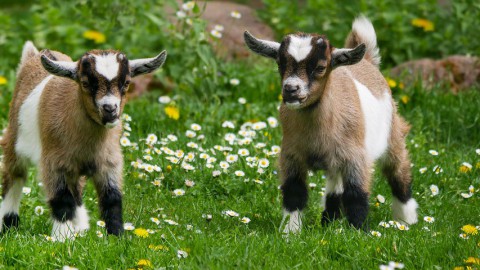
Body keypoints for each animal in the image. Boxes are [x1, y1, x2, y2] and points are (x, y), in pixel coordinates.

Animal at [0, 41, 166, 240]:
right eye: (86, 83)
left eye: (126, 83)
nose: (110, 109)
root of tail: (33, 55)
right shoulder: (54, 163)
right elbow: (62, 200)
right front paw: (61, 238)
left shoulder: (110, 162)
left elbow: (112, 198)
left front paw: (116, 236)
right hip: (14, 141)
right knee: (14, 176)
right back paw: (9, 224)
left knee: (76, 190)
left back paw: (80, 228)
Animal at [244, 15, 416, 233]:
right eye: (280, 64)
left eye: (320, 67)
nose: (291, 89)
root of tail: (367, 62)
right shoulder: (291, 155)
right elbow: (294, 192)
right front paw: (289, 232)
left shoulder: (356, 158)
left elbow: (356, 195)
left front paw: (359, 232)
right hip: (335, 161)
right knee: (335, 186)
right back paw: (329, 221)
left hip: (392, 135)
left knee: (398, 172)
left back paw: (406, 221)